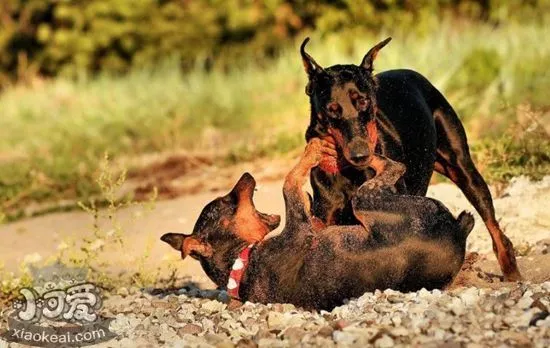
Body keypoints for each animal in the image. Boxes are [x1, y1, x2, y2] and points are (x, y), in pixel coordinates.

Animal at [160, 139, 474, 310]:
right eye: (228, 201)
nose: (247, 175)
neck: (239, 262)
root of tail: (456, 233)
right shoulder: (299, 227)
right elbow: (289, 182)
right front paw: (312, 152)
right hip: (365, 200)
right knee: (394, 167)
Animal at [302, 36, 520, 280]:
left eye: (363, 101)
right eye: (332, 109)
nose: (360, 154)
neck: (350, 172)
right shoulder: (326, 218)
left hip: (462, 167)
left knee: (493, 225)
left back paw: (512, 273)